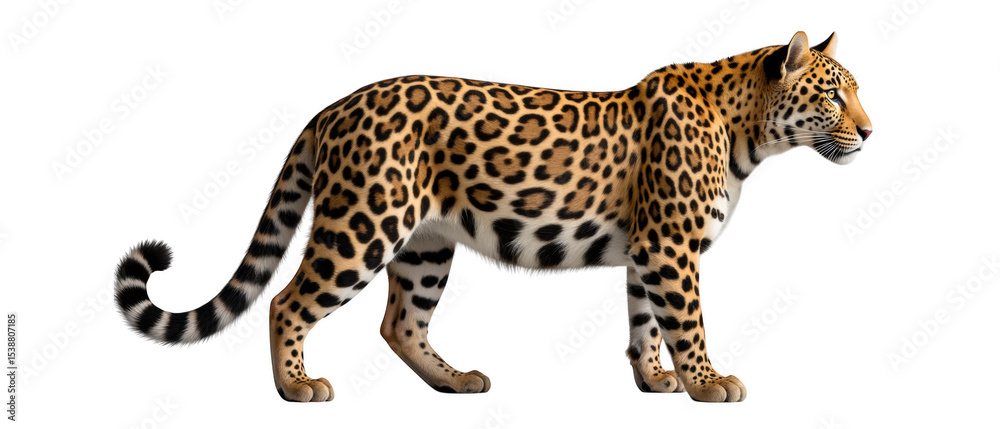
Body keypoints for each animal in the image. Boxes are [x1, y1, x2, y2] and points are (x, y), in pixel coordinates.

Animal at [114, 31, 872, 403]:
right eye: (834, 95)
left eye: (855, 93)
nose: (870, 132)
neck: (750, 129)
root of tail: (333, 107)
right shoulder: (669, 245)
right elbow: (687, 320)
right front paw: (709, 383)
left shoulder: (648, 249)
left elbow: (645, 322)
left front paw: (655, 380)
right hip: (364, 223)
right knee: (287, 301)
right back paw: (297, 386)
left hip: (425, 243)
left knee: (400, 322)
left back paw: (456, 381)